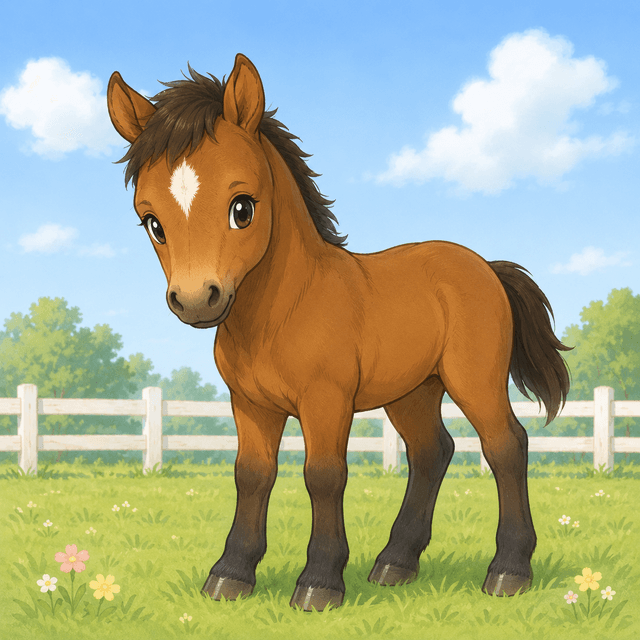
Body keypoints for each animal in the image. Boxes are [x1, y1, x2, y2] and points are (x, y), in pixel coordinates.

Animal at [107, 53, 570, 612]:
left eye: (242, 208)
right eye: (152, 222)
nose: (197, 300)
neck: (283, 312)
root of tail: (483, 266)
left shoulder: (325, 401)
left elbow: (324, 475)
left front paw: (319, 582)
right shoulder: (250, 404)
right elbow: (252, 475)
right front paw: (231, 574)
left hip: (473, 379)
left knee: (506, 445)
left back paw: (508, 570)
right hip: (413, 391)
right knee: (431, 452)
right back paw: (395, 564)